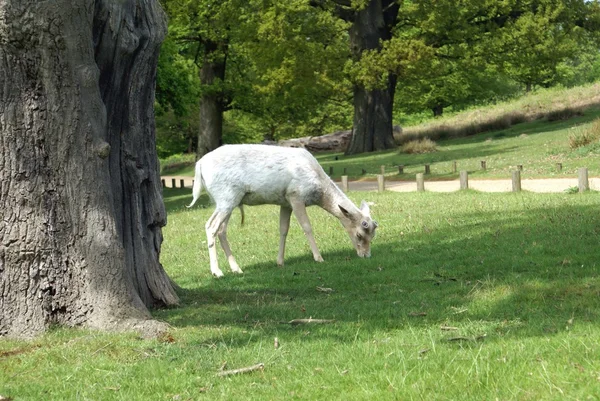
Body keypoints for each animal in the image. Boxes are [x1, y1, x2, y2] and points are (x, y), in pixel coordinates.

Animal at [188, 144, 378, 278]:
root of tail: (199, 165)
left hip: (227, 200)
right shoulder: (296, 195)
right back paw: (217, 272)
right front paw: (319, 258)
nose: (366, 255)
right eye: (360, 234)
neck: (318, 189)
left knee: (221, 230)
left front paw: (280, 262)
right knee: (210, 226)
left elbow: (283, 229)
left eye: (373, 235)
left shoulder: (285, 202)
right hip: (226, 197)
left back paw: (237, 269)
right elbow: (307, 227)